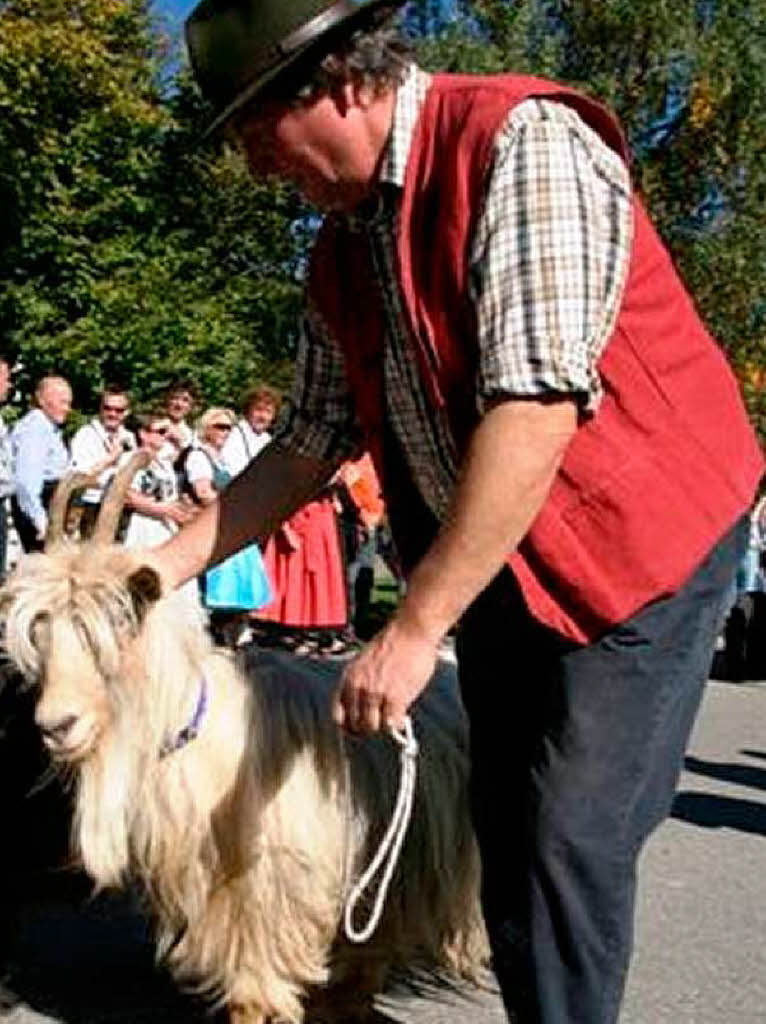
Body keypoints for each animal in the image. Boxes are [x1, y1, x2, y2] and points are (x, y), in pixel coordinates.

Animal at [0, 458, 487, 1024]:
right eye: (40, 634)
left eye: (112, 632)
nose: (56, 725)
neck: (203, 734)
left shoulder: (268, 899)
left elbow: (257, 996)